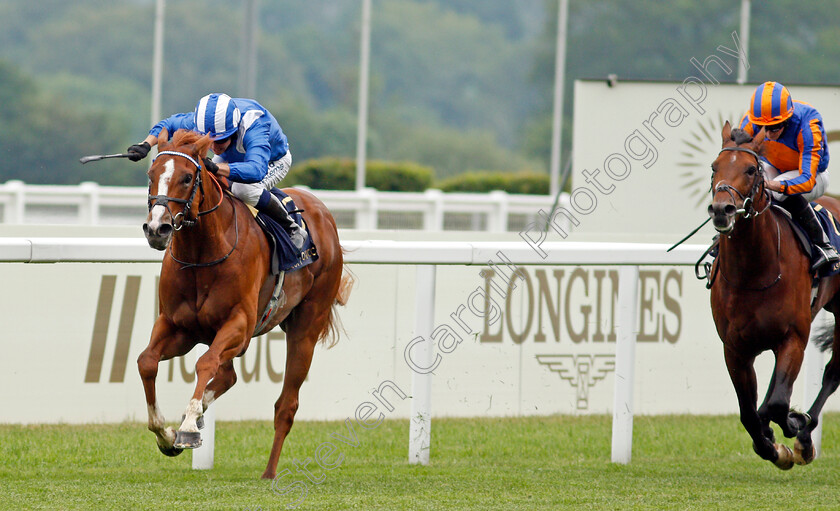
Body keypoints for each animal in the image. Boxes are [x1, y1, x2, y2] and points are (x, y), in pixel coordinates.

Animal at [137, 128, 352, 480]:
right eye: (151, 175)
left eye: (186, 177)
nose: (157, 228)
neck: (203, 254)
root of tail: (322, 211)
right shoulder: (177, 326)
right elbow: (147, 362)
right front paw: (167, 435)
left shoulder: (239, 324)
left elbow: (205, 364)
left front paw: (188, 428)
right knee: (229, 376)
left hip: (306, 327)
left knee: (286, 405)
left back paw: (269, 471)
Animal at [708, 122, 840, 470]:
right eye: (714, 167)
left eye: (751, 169)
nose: (722, 210)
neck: (753, 273)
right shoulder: (735, 348)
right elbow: (749, 412)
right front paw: (770, 446)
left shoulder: (793, 337)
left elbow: (775, 403)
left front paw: (792, 424)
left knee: (832, 373)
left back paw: (805, 437)